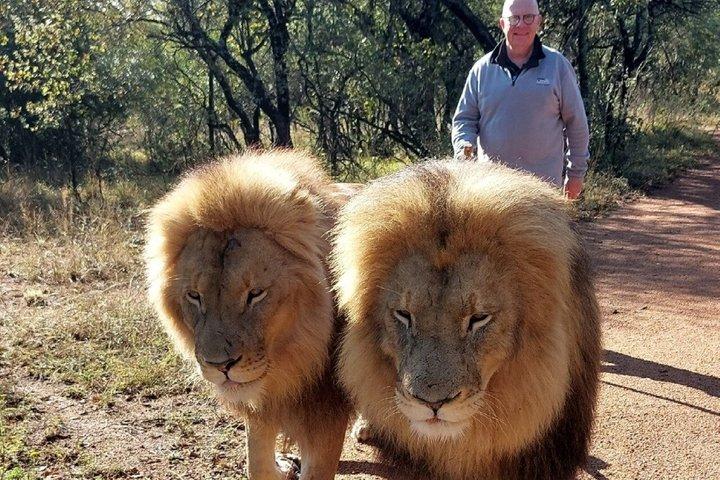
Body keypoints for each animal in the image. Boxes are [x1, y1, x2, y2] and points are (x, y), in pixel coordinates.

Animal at [145, 150, 351, 480]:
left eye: (255, 294)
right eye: (195, 296)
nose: (219, 366)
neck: (292, 366)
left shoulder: (326, 412)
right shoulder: (260, 408)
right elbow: (257, 460)